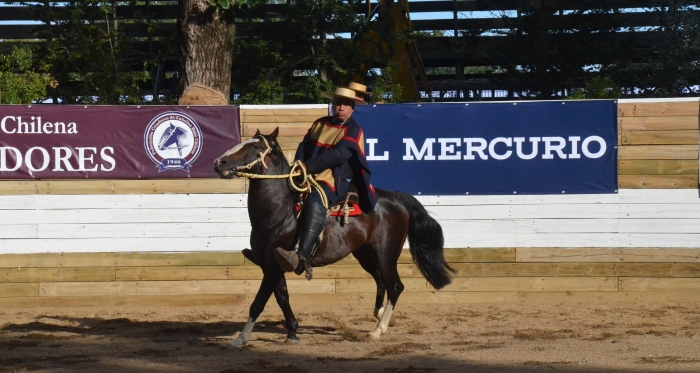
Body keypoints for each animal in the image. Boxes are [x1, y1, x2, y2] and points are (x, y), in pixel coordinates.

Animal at [213, 128, 454, 346]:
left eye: (255, 147)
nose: (219, 162)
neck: (280, 210)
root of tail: (396, 197)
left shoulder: (273, 266)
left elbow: (259, 301)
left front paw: (241, 338)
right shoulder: (270, 265)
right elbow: (282, 297)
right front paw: (292, 332)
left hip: (386, 253)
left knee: (395, 286)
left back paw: (378, 330)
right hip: (365, 254)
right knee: (381, 281)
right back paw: (382, 317)